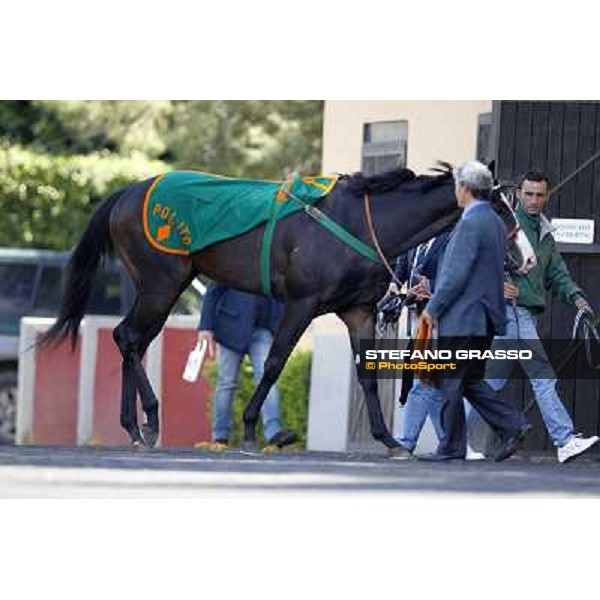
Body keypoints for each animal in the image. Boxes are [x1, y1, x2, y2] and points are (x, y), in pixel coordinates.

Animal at [39, 164, 536, 450]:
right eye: (500, 208)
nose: (528, 258)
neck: (357, 222)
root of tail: (128, 193)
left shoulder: (358, 310)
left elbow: (367, 374)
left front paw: (388, 439)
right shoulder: (302, 303)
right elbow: (275, 361)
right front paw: (249, 427)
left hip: (158, 287)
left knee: (132, 341)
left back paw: (134, 425)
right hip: (162, 282)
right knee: (128, 337)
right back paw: (150, 420)